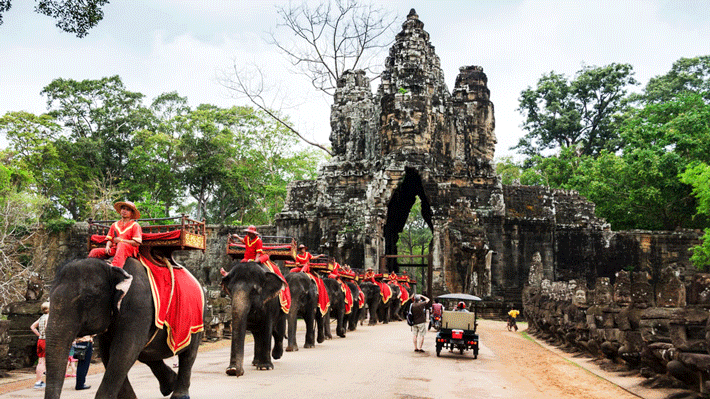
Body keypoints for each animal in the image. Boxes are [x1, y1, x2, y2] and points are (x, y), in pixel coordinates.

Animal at [45, 258, 203, 398]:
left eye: (88, 298)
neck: (111, 266)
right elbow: (110, 354)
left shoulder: (138, 306)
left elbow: (123, 352)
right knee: (146, 355)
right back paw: (169, 385)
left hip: (197, 322)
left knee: (188, 356)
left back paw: (179, 395)